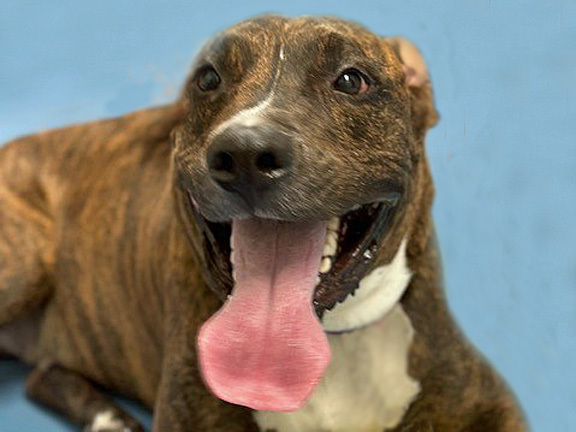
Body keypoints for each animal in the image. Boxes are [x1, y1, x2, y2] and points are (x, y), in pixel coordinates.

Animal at [0, 14, 528, 432]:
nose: (245, 155)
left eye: (351, 79)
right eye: (208, 79)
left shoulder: (487, 401)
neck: (332, 348)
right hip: (27, 261)